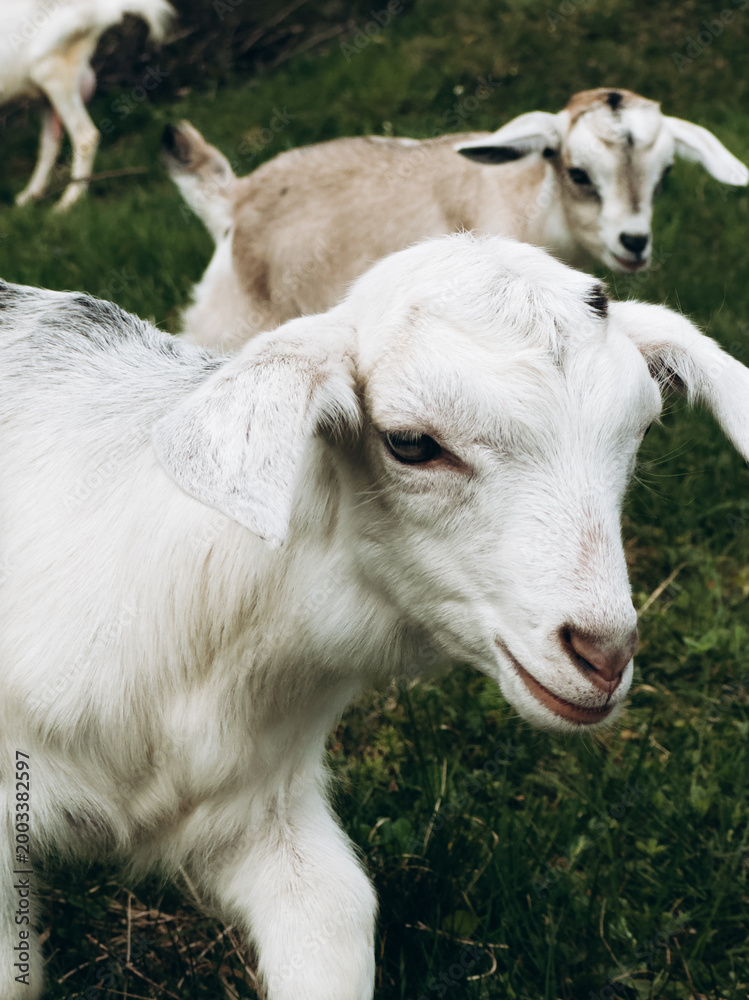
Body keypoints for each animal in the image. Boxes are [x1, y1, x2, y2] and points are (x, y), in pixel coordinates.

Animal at [2, 0, 173, 211]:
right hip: (47, 89)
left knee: (84, 136)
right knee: (50, 141)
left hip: (54, 72)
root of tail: (107, 10)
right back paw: (30, 196)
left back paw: (67, 203)